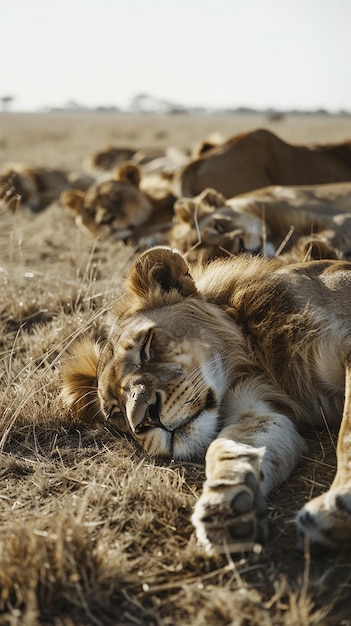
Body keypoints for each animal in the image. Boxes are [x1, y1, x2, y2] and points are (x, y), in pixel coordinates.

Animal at [62, 244, 351, 552]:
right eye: (115, 412)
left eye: (145, 348)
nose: (145, 420)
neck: (255, 361)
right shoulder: (254, 410)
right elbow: (227, 446)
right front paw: (225, 502)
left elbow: (346, 435)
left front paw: (336, 508)